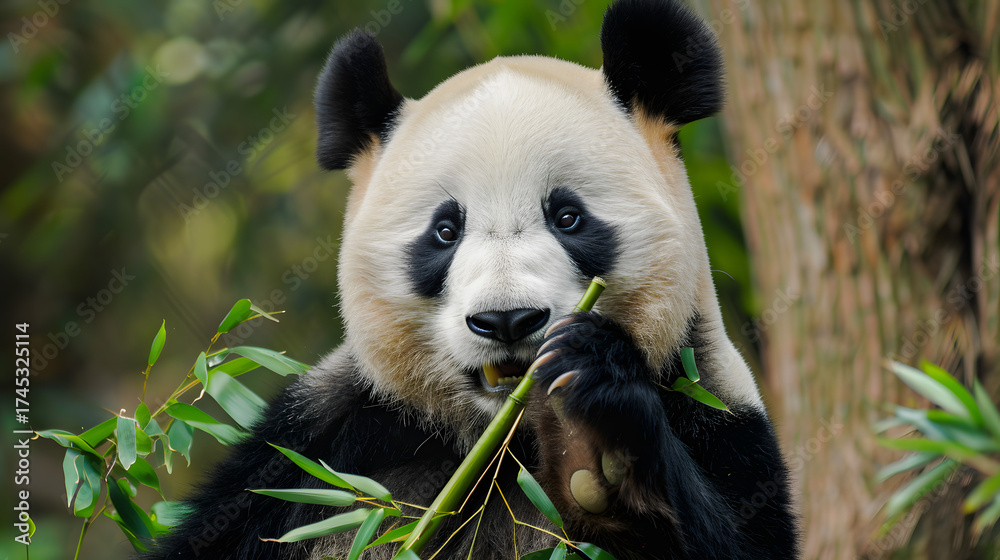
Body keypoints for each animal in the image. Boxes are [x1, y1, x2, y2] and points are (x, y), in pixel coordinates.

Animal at [145, 0, 798, 558]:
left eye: (567, 217)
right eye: (444, 231)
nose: (507, 320)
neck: (501, 446)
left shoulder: (718, 417)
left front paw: (597, 444)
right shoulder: (322, 447)